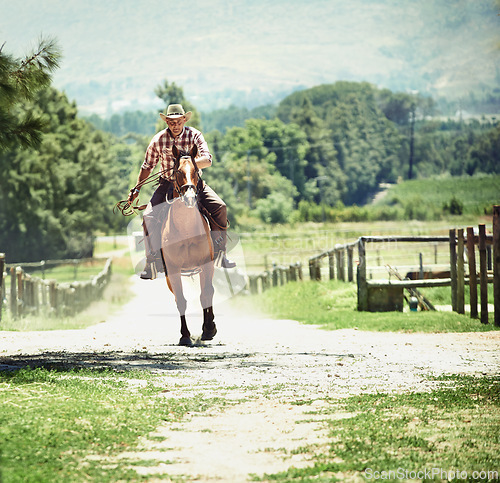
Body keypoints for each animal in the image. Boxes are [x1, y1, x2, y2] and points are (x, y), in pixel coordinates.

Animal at [160, 145, 215, 348]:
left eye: (196, 171)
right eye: (177, 172)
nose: (190, 198)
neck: (185, 230)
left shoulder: (207, 264)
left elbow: (205, 295)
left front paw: (209, 329)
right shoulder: (173, 270)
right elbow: (181, 301)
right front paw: (185, 335)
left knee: (208, 293)